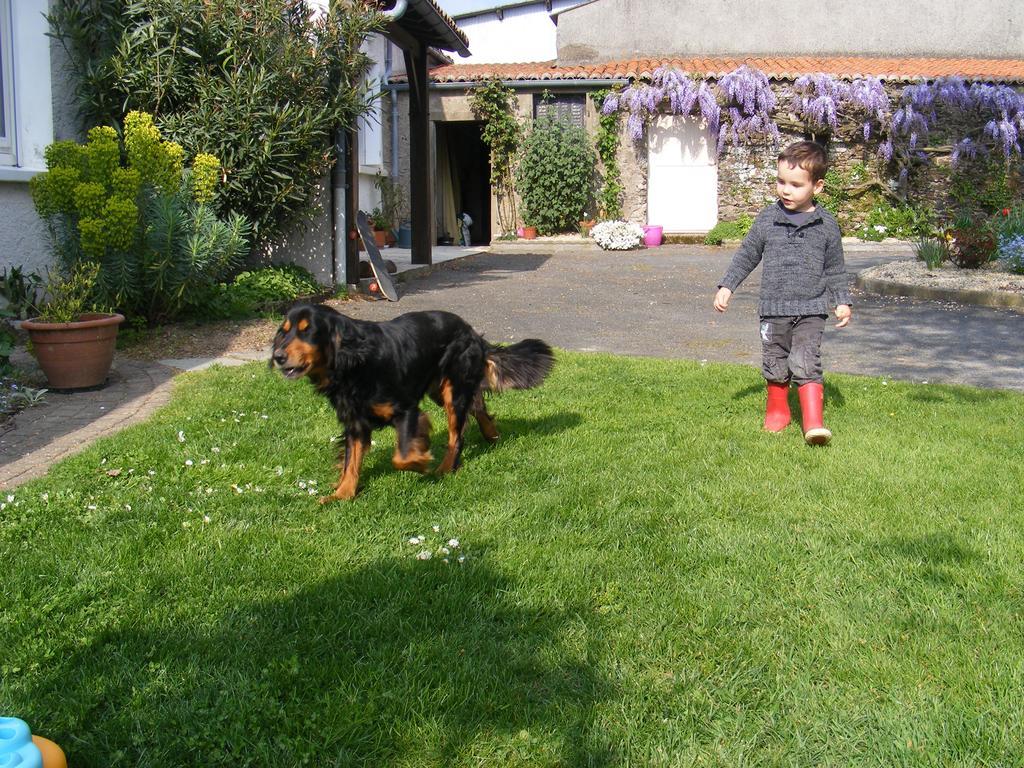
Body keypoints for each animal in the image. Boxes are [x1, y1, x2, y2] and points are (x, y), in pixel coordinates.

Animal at [272, 303, 552, 501]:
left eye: (308, 331)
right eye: (283, 333)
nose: (277, 356)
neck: (355, 361)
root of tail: (471, 331)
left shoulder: (405, 409)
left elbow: (402, 457)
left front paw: (421, 459)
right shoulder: (355, 423)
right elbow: (351, 462)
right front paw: (342, 494)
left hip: (452, 389)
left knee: (457, 435)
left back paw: (445, 469)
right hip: (441, 389)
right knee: (477, 406)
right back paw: (492, 435)